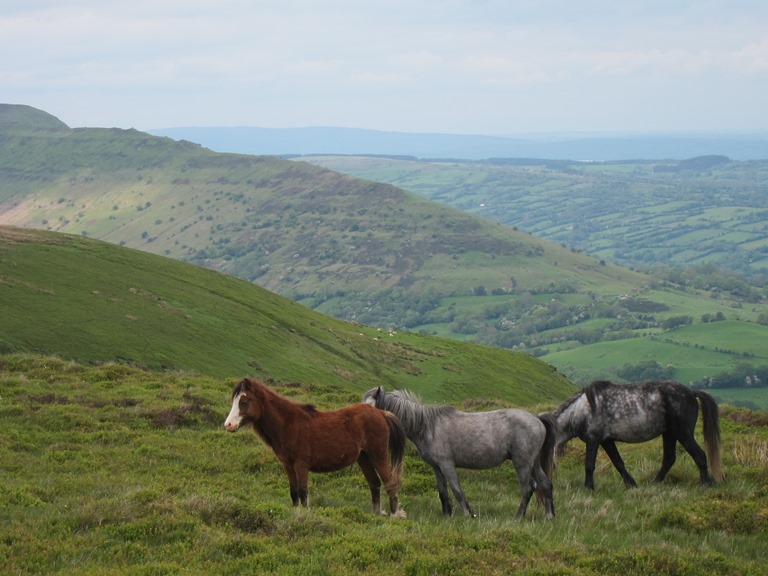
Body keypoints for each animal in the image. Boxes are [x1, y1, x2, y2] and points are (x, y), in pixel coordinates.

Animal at [224, 378, 408, 516]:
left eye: (244, 401)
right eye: (234, 400)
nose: (228, 425)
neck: (288, 424)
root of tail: (382, 414)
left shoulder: (301, 464)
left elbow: (303, 492)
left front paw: (305, 516)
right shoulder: (288, 465)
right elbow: (294, 492)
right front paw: (296, 514)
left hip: (378, 455)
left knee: (389, 483)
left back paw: (394, 515)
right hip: (364, 457)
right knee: (374, 483)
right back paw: (376, 515)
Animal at [364, 388, 556, 516]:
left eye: (370, 406)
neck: (427, 426)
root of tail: (537, 419)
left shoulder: (447, 464)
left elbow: (457, 490)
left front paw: (467, 515)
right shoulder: (437, 467)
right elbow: (443, 492)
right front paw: (447, 515)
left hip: (522, 462)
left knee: (528, 488)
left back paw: (518, 517)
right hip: (533, 463)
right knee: (545, 484)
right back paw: (549, 516)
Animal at [544, 382, 720, 490]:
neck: (581, 410)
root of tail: (691, 392)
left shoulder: (593, 440)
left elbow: (589, 465)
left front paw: (588, 488)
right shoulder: (607, 441)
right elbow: (618, 463)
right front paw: (631, 484)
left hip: (683, 434)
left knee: (699, 455)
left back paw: (705, 484)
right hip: (669, 434)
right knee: (669, 458)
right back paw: (654, 483)